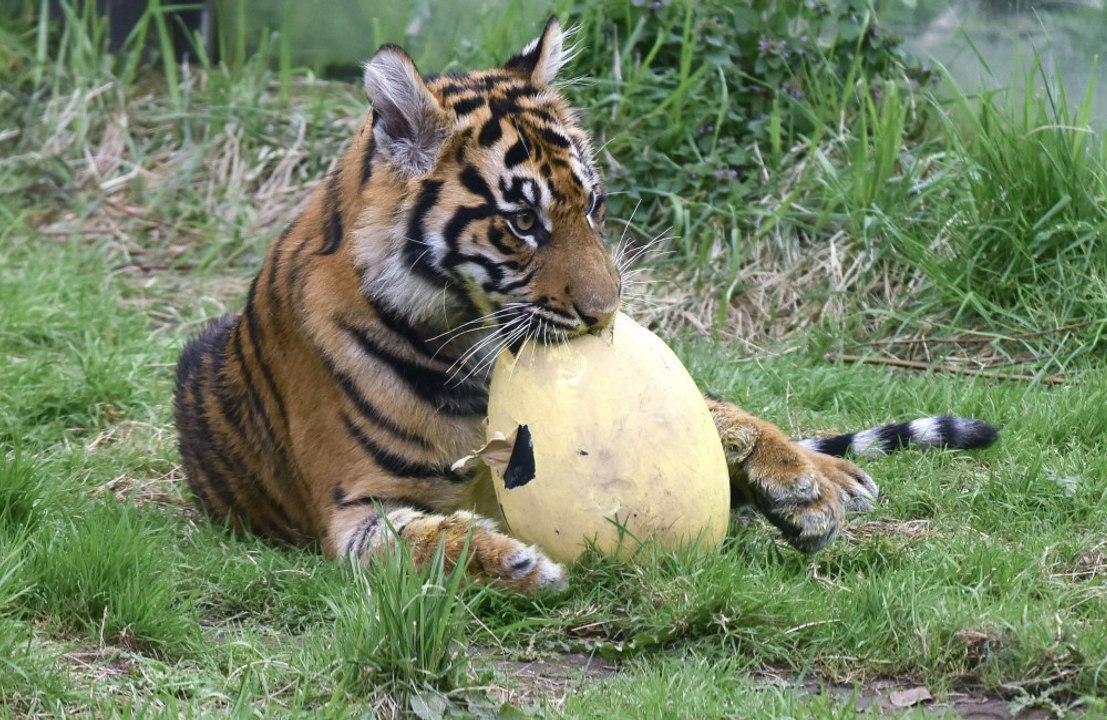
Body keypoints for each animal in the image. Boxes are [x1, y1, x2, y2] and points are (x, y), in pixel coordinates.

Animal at [173, 17, 997, 594]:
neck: (464, 347)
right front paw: (507, 563)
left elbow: (720, 420)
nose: (606, 313)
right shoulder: (352, 507)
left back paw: (821, 479)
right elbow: (423, 536)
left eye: (592, 204)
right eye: (521, 221)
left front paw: (799, 486)